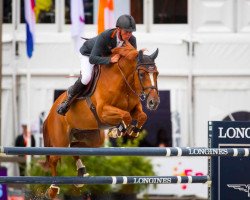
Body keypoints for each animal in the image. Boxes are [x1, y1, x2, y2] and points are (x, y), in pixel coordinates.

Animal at [42, 42, 160, 198]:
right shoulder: (103, 111)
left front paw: (133, 131)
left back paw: (81, 173)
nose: (154, 102)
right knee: (55, 158)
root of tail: (50, 112)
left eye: (157, 74)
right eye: (141, 74)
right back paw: (53, 189)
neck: (123, 81)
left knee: (74, 147)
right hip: (60, 139)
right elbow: (125, 115)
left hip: (92, 138)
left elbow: (141, 116)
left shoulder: (134, 109)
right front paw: (118, 130)